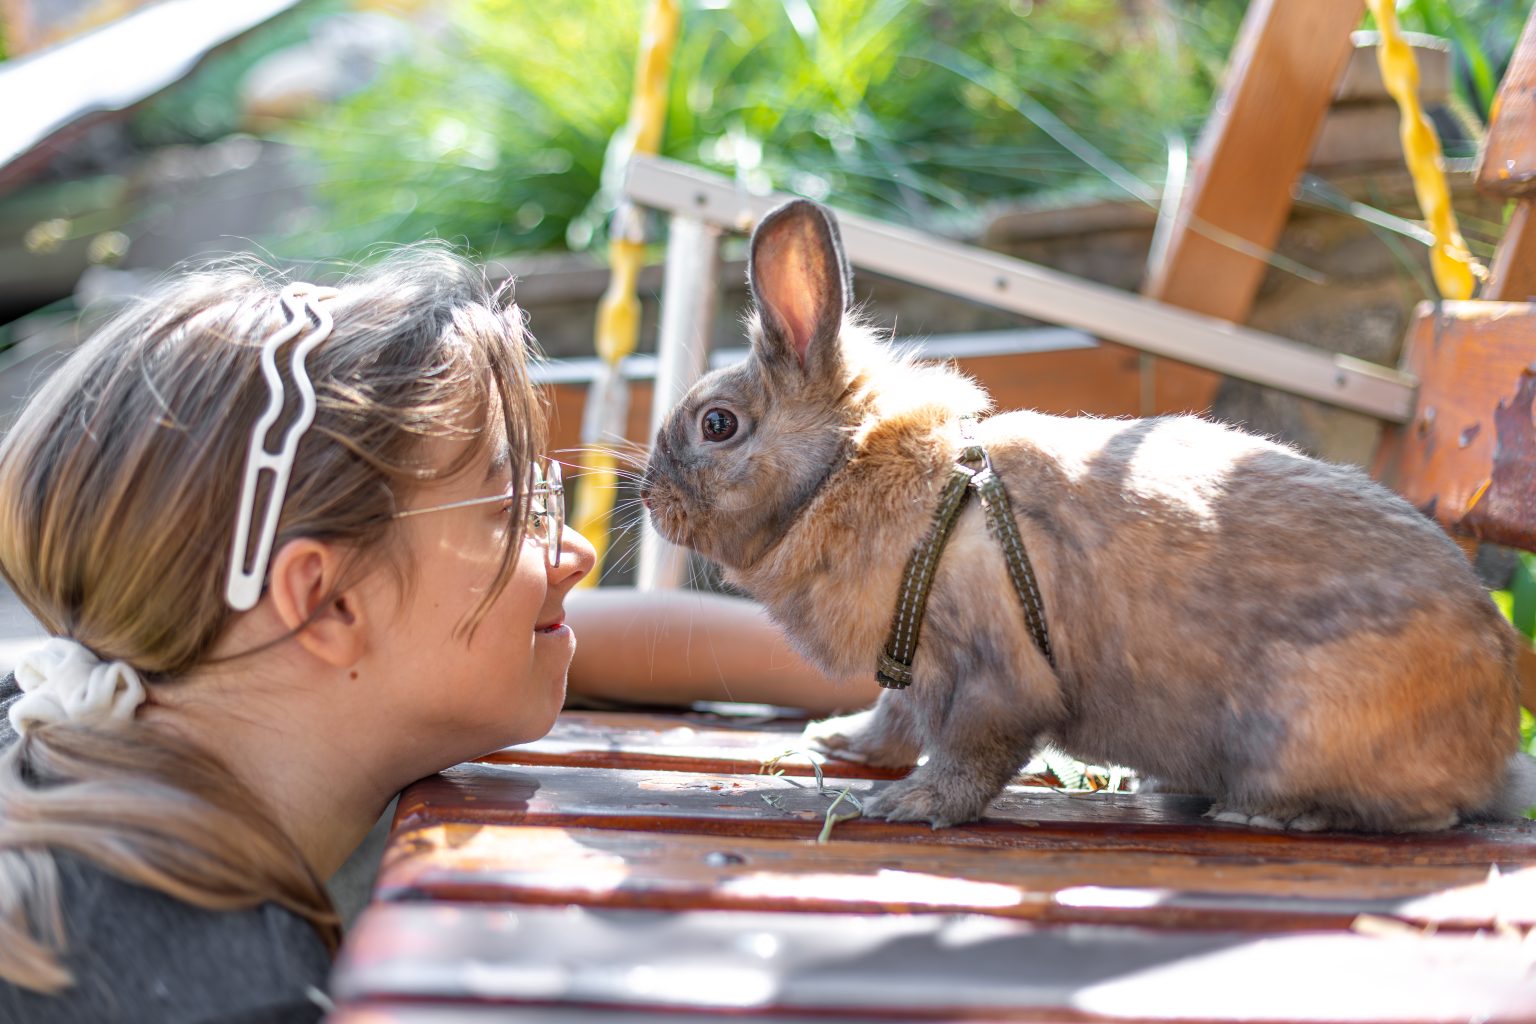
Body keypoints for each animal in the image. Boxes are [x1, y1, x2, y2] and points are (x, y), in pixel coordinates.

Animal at [641, 197, 1534, 832]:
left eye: (716, 425)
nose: (648, 500)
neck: (850, 470)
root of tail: (1496, 736)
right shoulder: (911, 668)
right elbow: (891, 722)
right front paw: (837, 744)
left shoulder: (991, 674)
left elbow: (969, 752)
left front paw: (909, 807)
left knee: (1429, 815)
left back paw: (1271, 812)